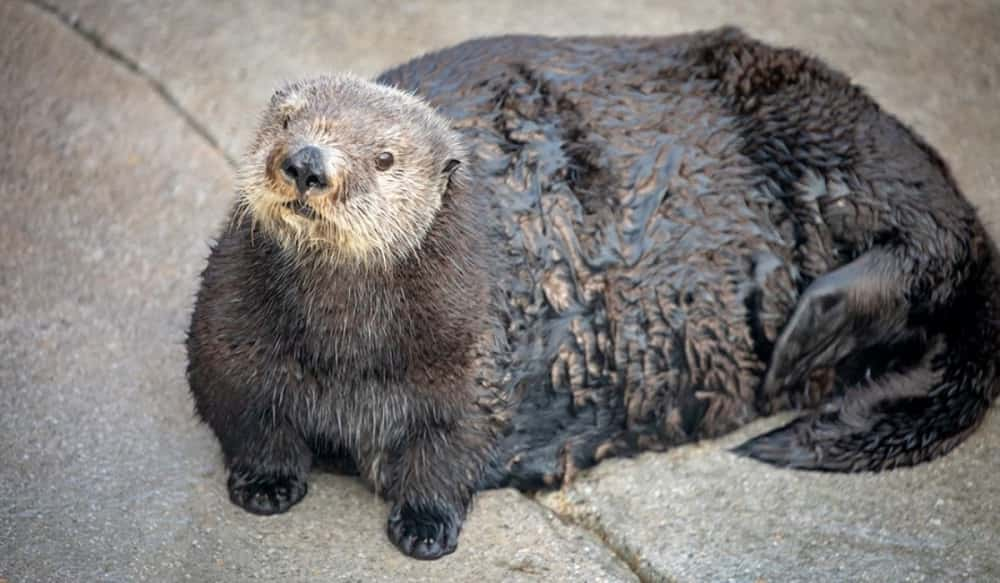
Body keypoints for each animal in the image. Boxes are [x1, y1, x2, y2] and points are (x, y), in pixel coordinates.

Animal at [188, 27, 1000, 560]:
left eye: (384, 158)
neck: (346, 351)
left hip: (825, 126)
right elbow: (244, 411)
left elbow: (452, 446)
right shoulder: (229, 331)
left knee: (942, 239)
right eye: (286, 121)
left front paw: (425, 525)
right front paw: (265, 484)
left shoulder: (472, 356)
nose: (306, 162)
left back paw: (810, 329)